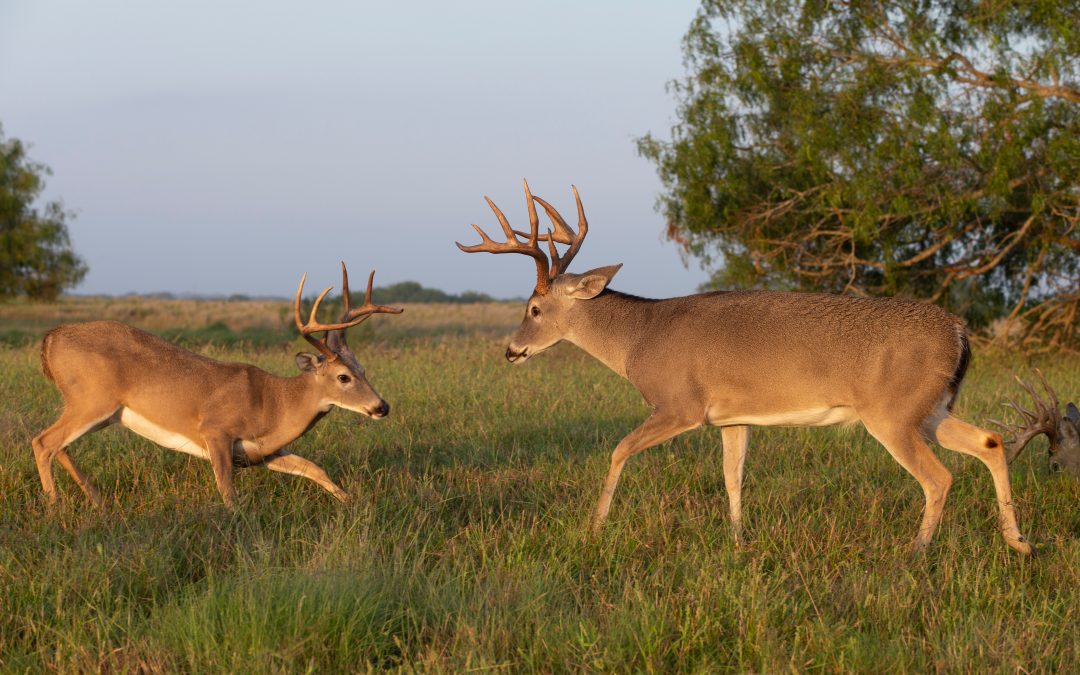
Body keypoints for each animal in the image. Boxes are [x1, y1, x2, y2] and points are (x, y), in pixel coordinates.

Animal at [31, 263, 401, 505]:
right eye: (343, 377)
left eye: (363, 369)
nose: (382, 406)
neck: (274, 403)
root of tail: (50, 339)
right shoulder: (216, 430)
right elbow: (228, 492)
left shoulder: (261, 451)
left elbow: (314, 467)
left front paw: (351, 503)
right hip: (91, 400)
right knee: (43, 441)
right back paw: (54, 507)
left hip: (102, 412)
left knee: (60, 445)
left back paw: (97, 500)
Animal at [460, 180, 1032, 552]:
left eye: (534, 309)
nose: (511, 350)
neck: (638, 339)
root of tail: (958, 330)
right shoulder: (732, 418)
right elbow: (732, 476)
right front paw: (738, 541)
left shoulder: (680, 404)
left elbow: (619, 449)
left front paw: (594, 529)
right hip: (931, 408)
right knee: (990, 442)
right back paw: (1019, 542)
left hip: (892, 413)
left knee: (939, 477)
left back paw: (916, 552)